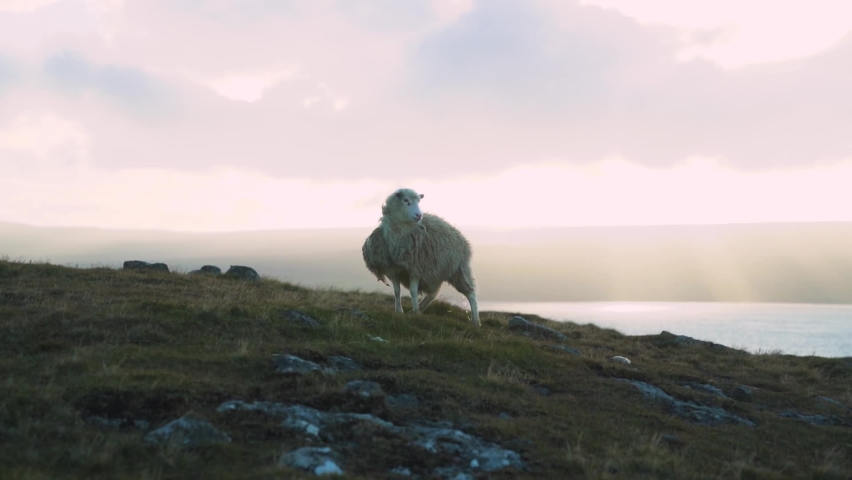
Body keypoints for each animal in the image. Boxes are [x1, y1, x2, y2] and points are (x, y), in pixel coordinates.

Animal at [362, 188, 480, 327]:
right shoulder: (392, 270)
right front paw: (399, 311)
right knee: (433, 294)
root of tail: (462, 237)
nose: (419, 215)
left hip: (458, 269)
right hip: (435, 273)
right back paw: (417, 309)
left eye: (419, 201)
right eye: (405, 200)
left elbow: (413, 291)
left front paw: (416, 312)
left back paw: (476, 321)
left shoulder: (416, 269)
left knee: (471, 294)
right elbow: (397, 291)